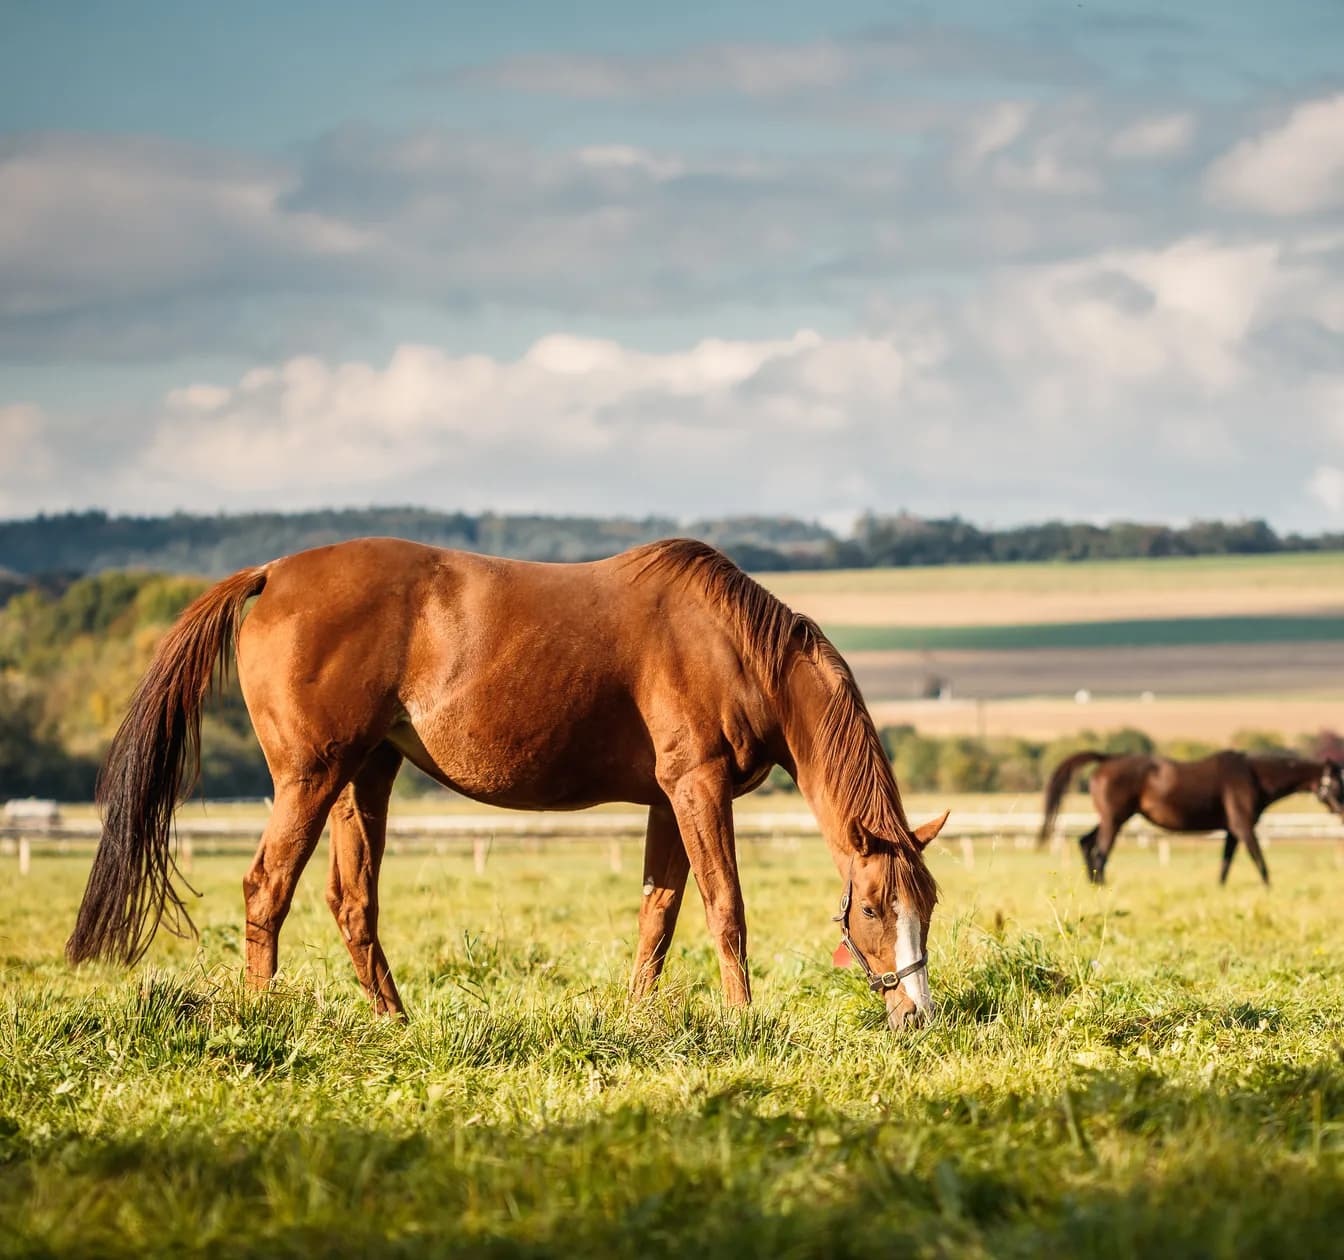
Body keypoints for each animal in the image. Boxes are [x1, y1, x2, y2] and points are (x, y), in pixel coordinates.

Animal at [67, 537, 948, 1031]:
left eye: (928, 907)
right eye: (873, 909)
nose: (917, 1017)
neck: (733, 646)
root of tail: (273, 574)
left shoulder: (668, 802)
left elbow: (657, 916)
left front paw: (639, 1021)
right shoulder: (697, 789)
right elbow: (723, 907)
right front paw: (742, 1021)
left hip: (364, 777)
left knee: (352, 903)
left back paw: (396, 1022)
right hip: (309, 778)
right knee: (266, 888)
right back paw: (261, 1019)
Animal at [1039, 749, 1344, 885]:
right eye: (1335, 782)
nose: (1342, 810)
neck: (1253, 778)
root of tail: (1107, 759)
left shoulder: (1231, 831)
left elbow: (1225, 865)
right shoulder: (1243, 826)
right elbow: (1260, 861)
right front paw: (1269, 890)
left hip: (1112, 817)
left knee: (1086, 843)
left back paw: (1093, 884)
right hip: (1115, 819)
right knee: (1100, 852)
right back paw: (1101, 886)